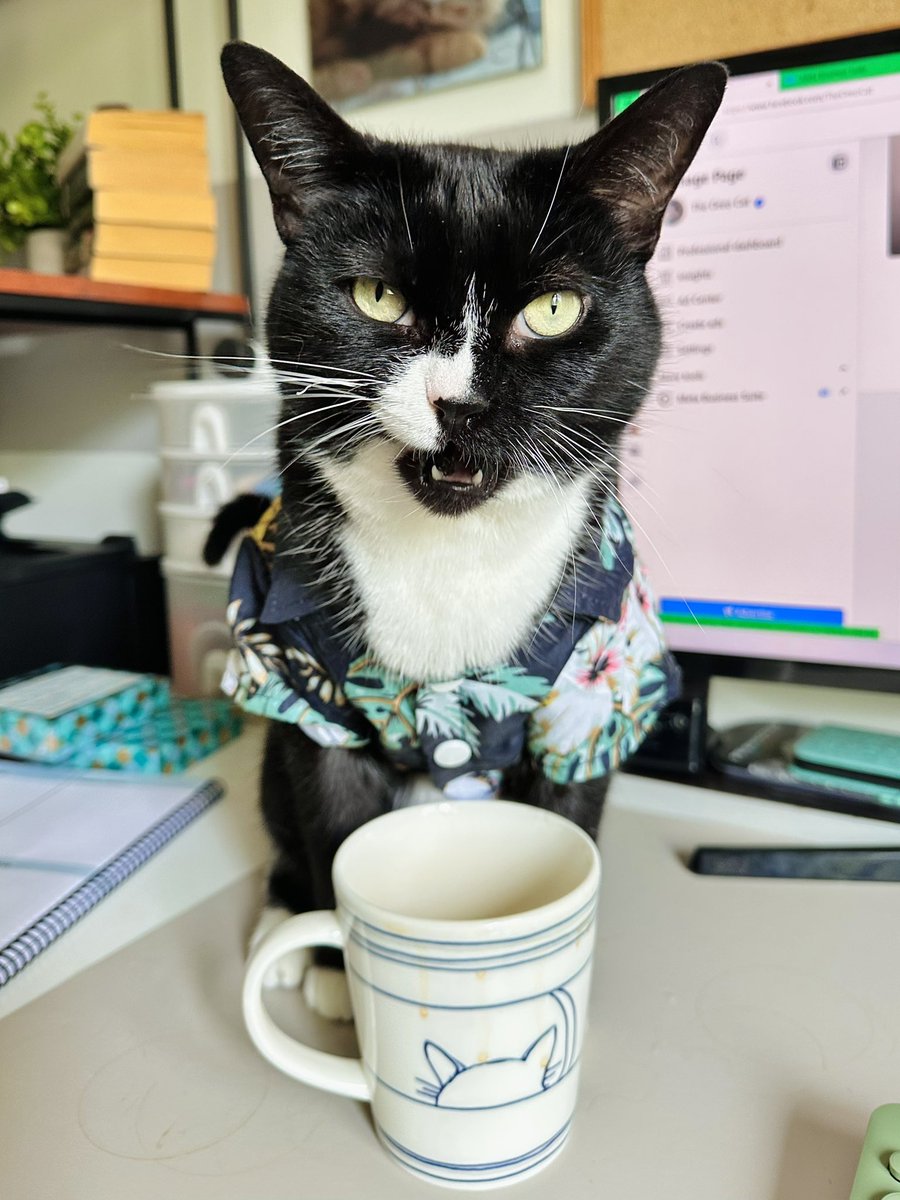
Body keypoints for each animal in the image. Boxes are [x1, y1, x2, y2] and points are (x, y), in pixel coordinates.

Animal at [220, 44, 734, 1012]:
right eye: (376, 296)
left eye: (555, 309)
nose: (458, 403)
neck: (450, 557)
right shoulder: (300, 677)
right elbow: (333, 831)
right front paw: (338, 975)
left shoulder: (594, 691)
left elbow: (564, 821)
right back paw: (279, 925)